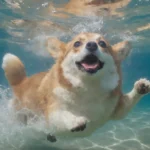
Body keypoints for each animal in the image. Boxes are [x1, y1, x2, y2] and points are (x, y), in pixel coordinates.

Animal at [2, 32, 150, 142]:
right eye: (77, 43)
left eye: (102, 43)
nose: (92, 45)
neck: (89, 87)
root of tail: (22, 82)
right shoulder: (52, 112)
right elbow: (61, 114)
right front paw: (75, 120)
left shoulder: (116, 109)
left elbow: (126, 105)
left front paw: (141, 87)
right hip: (20, 115)